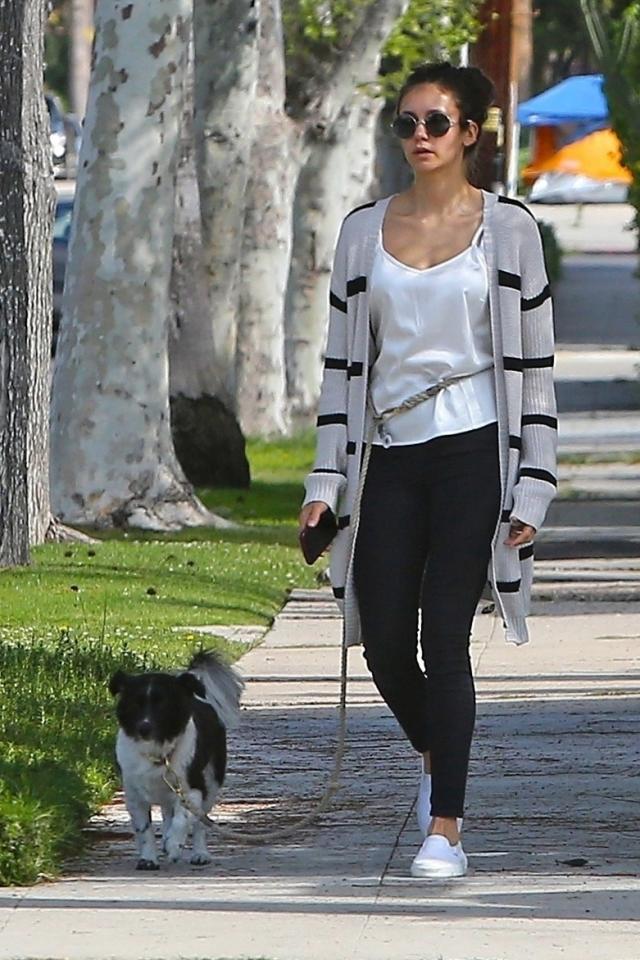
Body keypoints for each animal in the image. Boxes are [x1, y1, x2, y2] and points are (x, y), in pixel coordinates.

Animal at [110, 652, 242, 872]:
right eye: (136, 703)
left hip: (211, 784)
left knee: (199, 824)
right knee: (167, 814)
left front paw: (173, 844)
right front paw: (148, 858)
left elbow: (182, 820)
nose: (144, 727)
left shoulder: (193, 790)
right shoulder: (134, 797)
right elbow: (144, 830)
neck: (159, 754)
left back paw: (199, 853)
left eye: (162, 704)